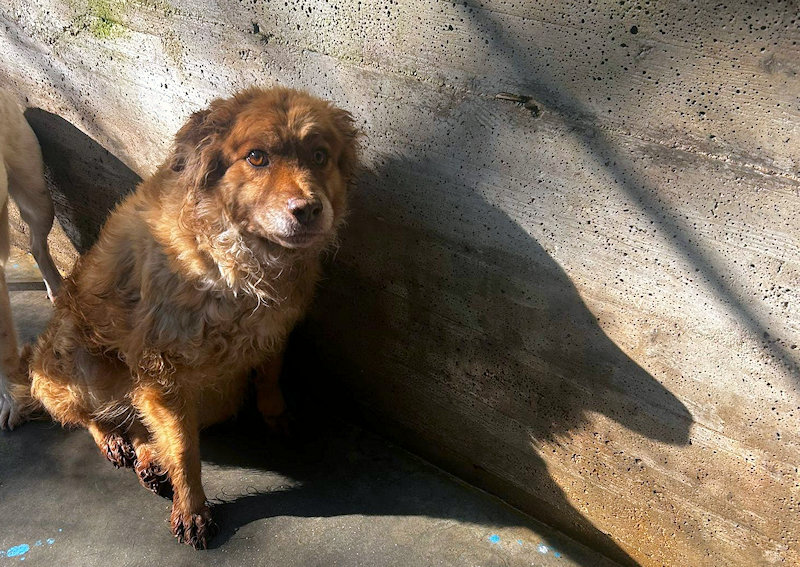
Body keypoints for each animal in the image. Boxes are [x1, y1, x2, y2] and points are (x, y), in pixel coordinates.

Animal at [6, 87, 358, 548]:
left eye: (320, 155)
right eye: (257, 157)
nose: (309, 210)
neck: (235, 255)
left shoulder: (272, 331)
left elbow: (268, 375)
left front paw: (276, 414)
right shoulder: (162, 369)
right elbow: (185, 450)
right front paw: (192, 509)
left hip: (218, 392)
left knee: (141, 420)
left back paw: (148, 459)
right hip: (75, 360)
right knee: (84, 414)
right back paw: (114, 441)